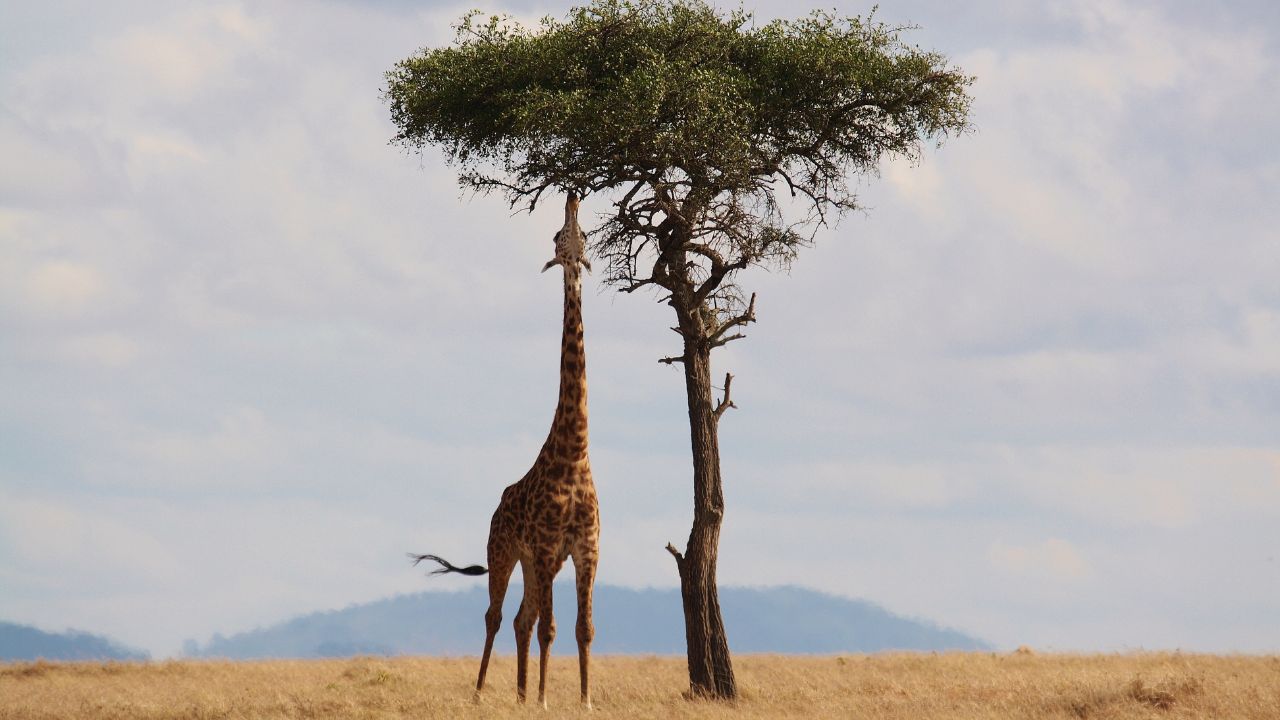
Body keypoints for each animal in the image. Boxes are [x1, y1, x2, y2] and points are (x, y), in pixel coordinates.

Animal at [411, 192, 599, 709]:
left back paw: (518, 695)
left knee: (521, 618)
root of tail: (497, 506)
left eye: (582, 235)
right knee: (497, 616)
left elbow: (583, 628)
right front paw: (546, 701)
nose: (573, 196)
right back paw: (482, 694)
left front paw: (584, 701)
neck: (575, 453)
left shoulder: (585, 549)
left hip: (534, 564)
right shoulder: (549, 546)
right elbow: (552, 628)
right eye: (558, 236)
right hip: (504, 551)